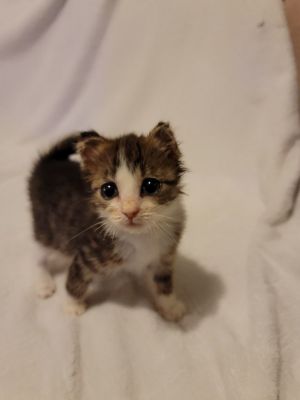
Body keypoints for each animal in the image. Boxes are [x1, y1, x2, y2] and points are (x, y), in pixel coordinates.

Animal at [28, 122, 188, 322]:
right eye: (108, 190)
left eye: (150, 185)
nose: (130, 211)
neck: (140, 237)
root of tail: (49, 162)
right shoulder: (87, 253)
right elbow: (76, 278)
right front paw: (73, 306)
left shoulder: (164, 253)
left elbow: (163, 281)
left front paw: (170, 306)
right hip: (46, 227)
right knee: (38, 253)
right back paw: (44, 283)